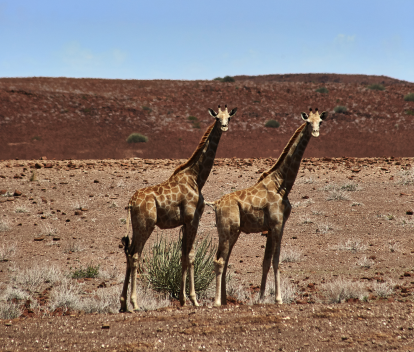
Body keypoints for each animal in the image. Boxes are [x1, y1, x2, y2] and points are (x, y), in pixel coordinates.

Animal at [119, 104, 236, 310]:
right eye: (217, 118)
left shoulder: (184, 222)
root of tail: (131, 203)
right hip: (146, 225)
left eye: (228, 117)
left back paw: (124, 304)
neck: (196, 178)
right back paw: (135, 304)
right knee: (135, 256)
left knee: (129, 253)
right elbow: (191, 256)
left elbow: (182, 256)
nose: (224, 127)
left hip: (136, 226)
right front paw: (194, 300)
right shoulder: (192, 219)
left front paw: (182, 299)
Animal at [206, 108, 326, 306]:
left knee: (225, 259)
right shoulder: (277, 224)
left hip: (232, 231)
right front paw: (278, 298)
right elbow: (276, 260)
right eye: (308, 122)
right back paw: (216, 302)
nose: (316, 132)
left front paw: (261, 297)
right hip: (227, 229)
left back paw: (224, 300)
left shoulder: (272, 227)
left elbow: (266, 261)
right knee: (219, 260)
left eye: (320, 121)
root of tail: (215, 204)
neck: (282, 184)